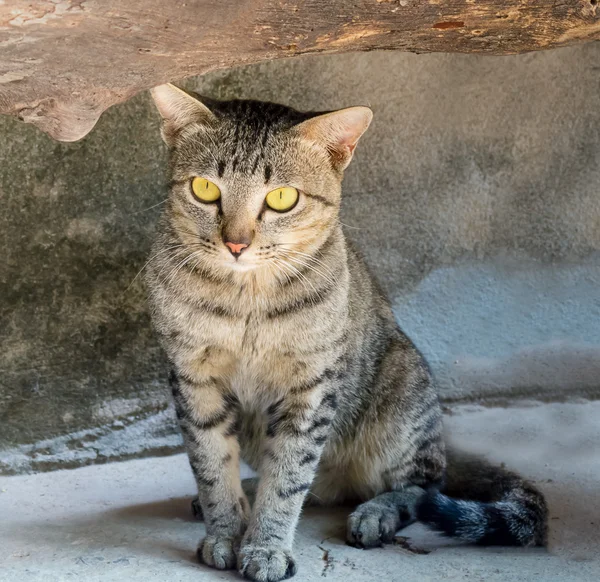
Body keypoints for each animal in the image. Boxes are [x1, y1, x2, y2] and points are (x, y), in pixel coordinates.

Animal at [146, 83, 548, 582]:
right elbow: (212, 463)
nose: (236, 244)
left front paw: (266, 546)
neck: (246, 301)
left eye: (282, 198)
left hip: (400, 396)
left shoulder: (311, 385)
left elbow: (289, 477)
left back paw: (376, 512)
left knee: (422, 485)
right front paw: (225, 530)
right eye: (204, 189)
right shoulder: (192, 377)